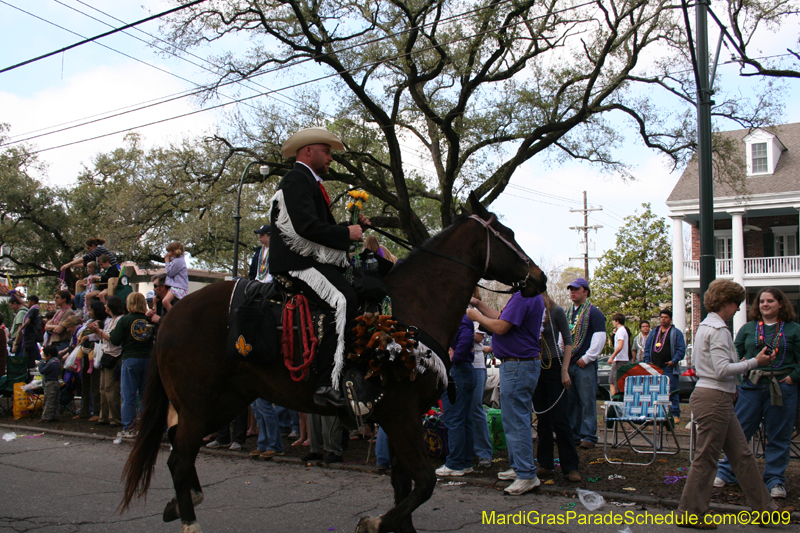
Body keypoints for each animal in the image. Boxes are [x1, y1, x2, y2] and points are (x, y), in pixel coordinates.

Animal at [120, 193, 544, 528]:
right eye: (508, 235)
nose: (538, 278)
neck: (411, 308)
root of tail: (170, 315)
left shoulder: (398, 418)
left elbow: (405, 486)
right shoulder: (401, 416)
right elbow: (423, 484)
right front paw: (374, 523)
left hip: (224, 402)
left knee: (179, 447)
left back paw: (184, 501)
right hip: (201, 403)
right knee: (179, 456)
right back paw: (189, 518)